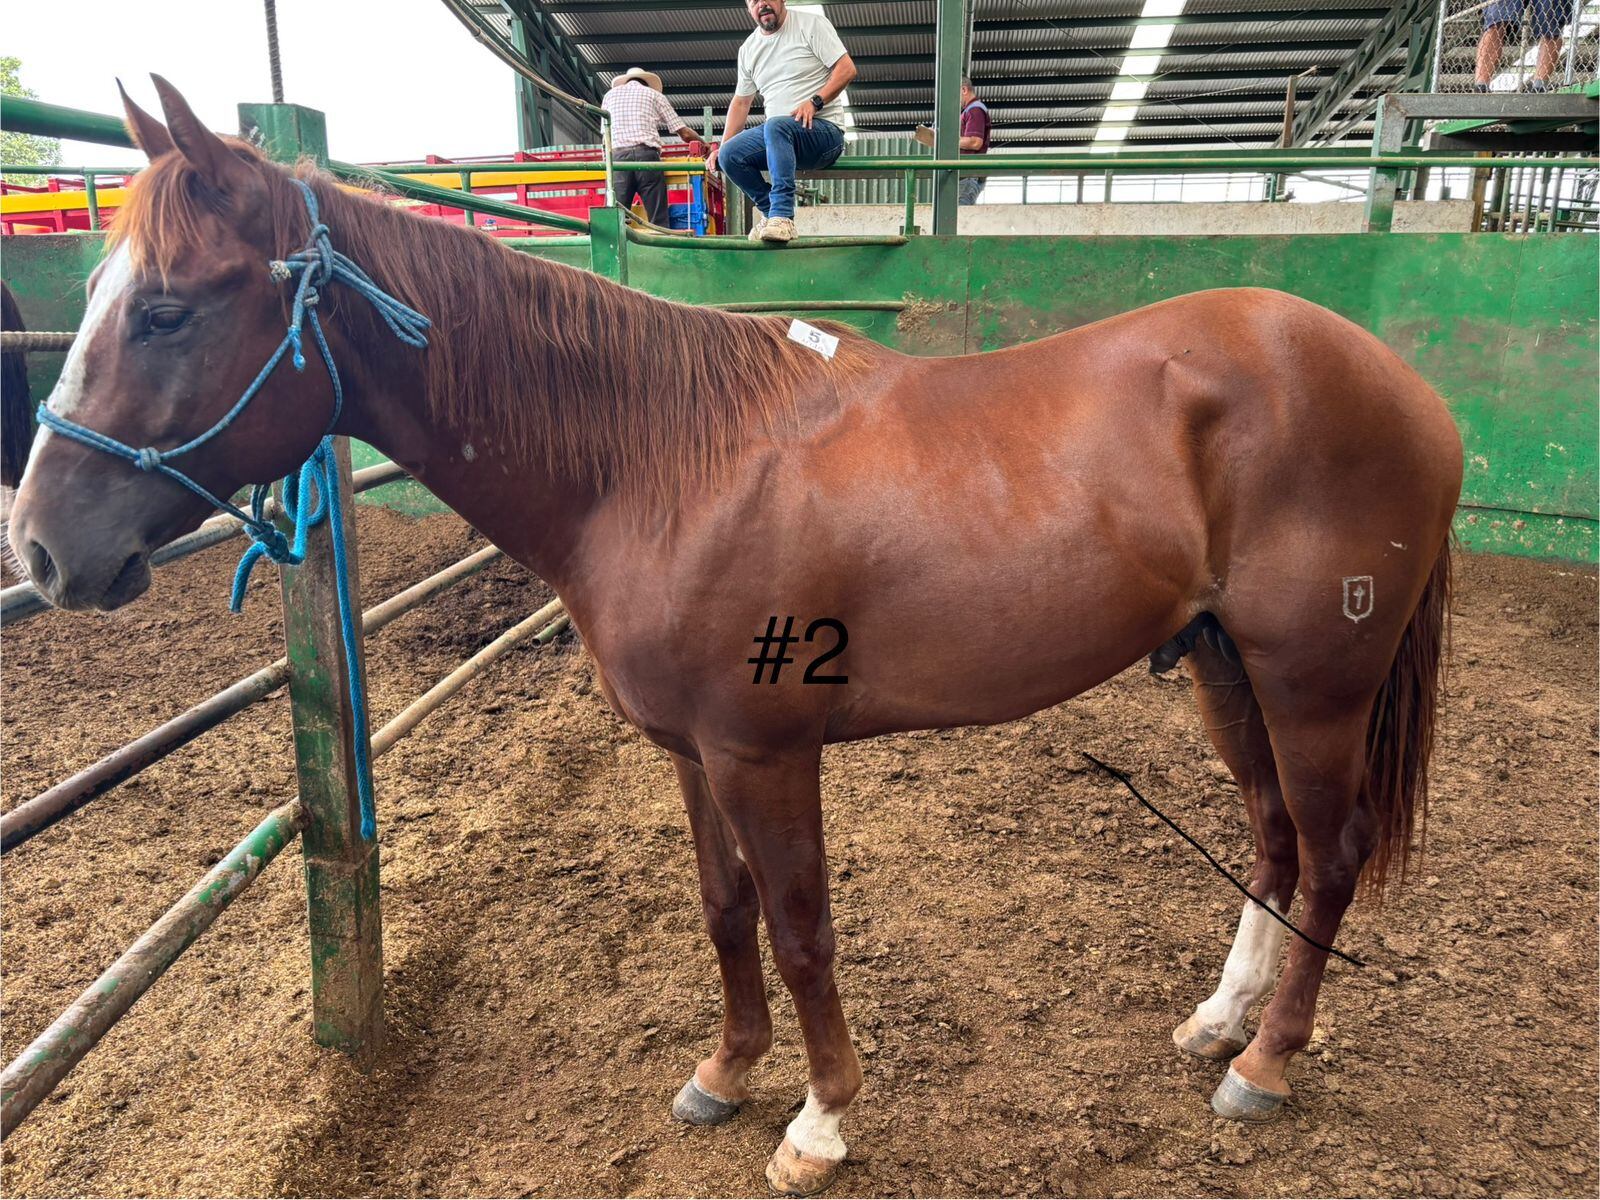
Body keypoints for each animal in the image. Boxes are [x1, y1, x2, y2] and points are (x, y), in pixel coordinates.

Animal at [8, 79, 1462, 1196]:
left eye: (167, 308)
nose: (39, 551)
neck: (665, 463)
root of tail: (1405, 387)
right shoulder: (690, 751)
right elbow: (724, 911)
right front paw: (724, 1074)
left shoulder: (768, 752)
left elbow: (803, 923)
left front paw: (821, 1120)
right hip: (1227, 668)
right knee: (1274, 842)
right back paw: (1217, 1024)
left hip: (1314, 682)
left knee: (1330, 852)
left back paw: (1266, 1065)